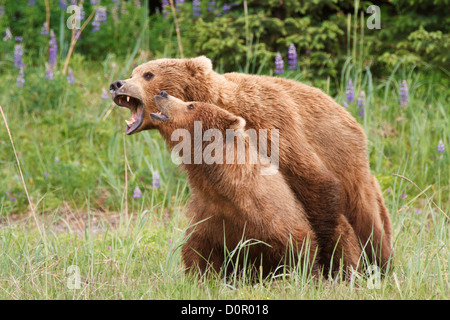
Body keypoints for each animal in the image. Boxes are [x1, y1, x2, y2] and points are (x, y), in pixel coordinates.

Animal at [151, 91, 320, 276]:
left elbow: (297, 249)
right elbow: (197, 250)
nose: (162, 93)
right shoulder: (208, 213)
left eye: (191, 105)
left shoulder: (272, 215)